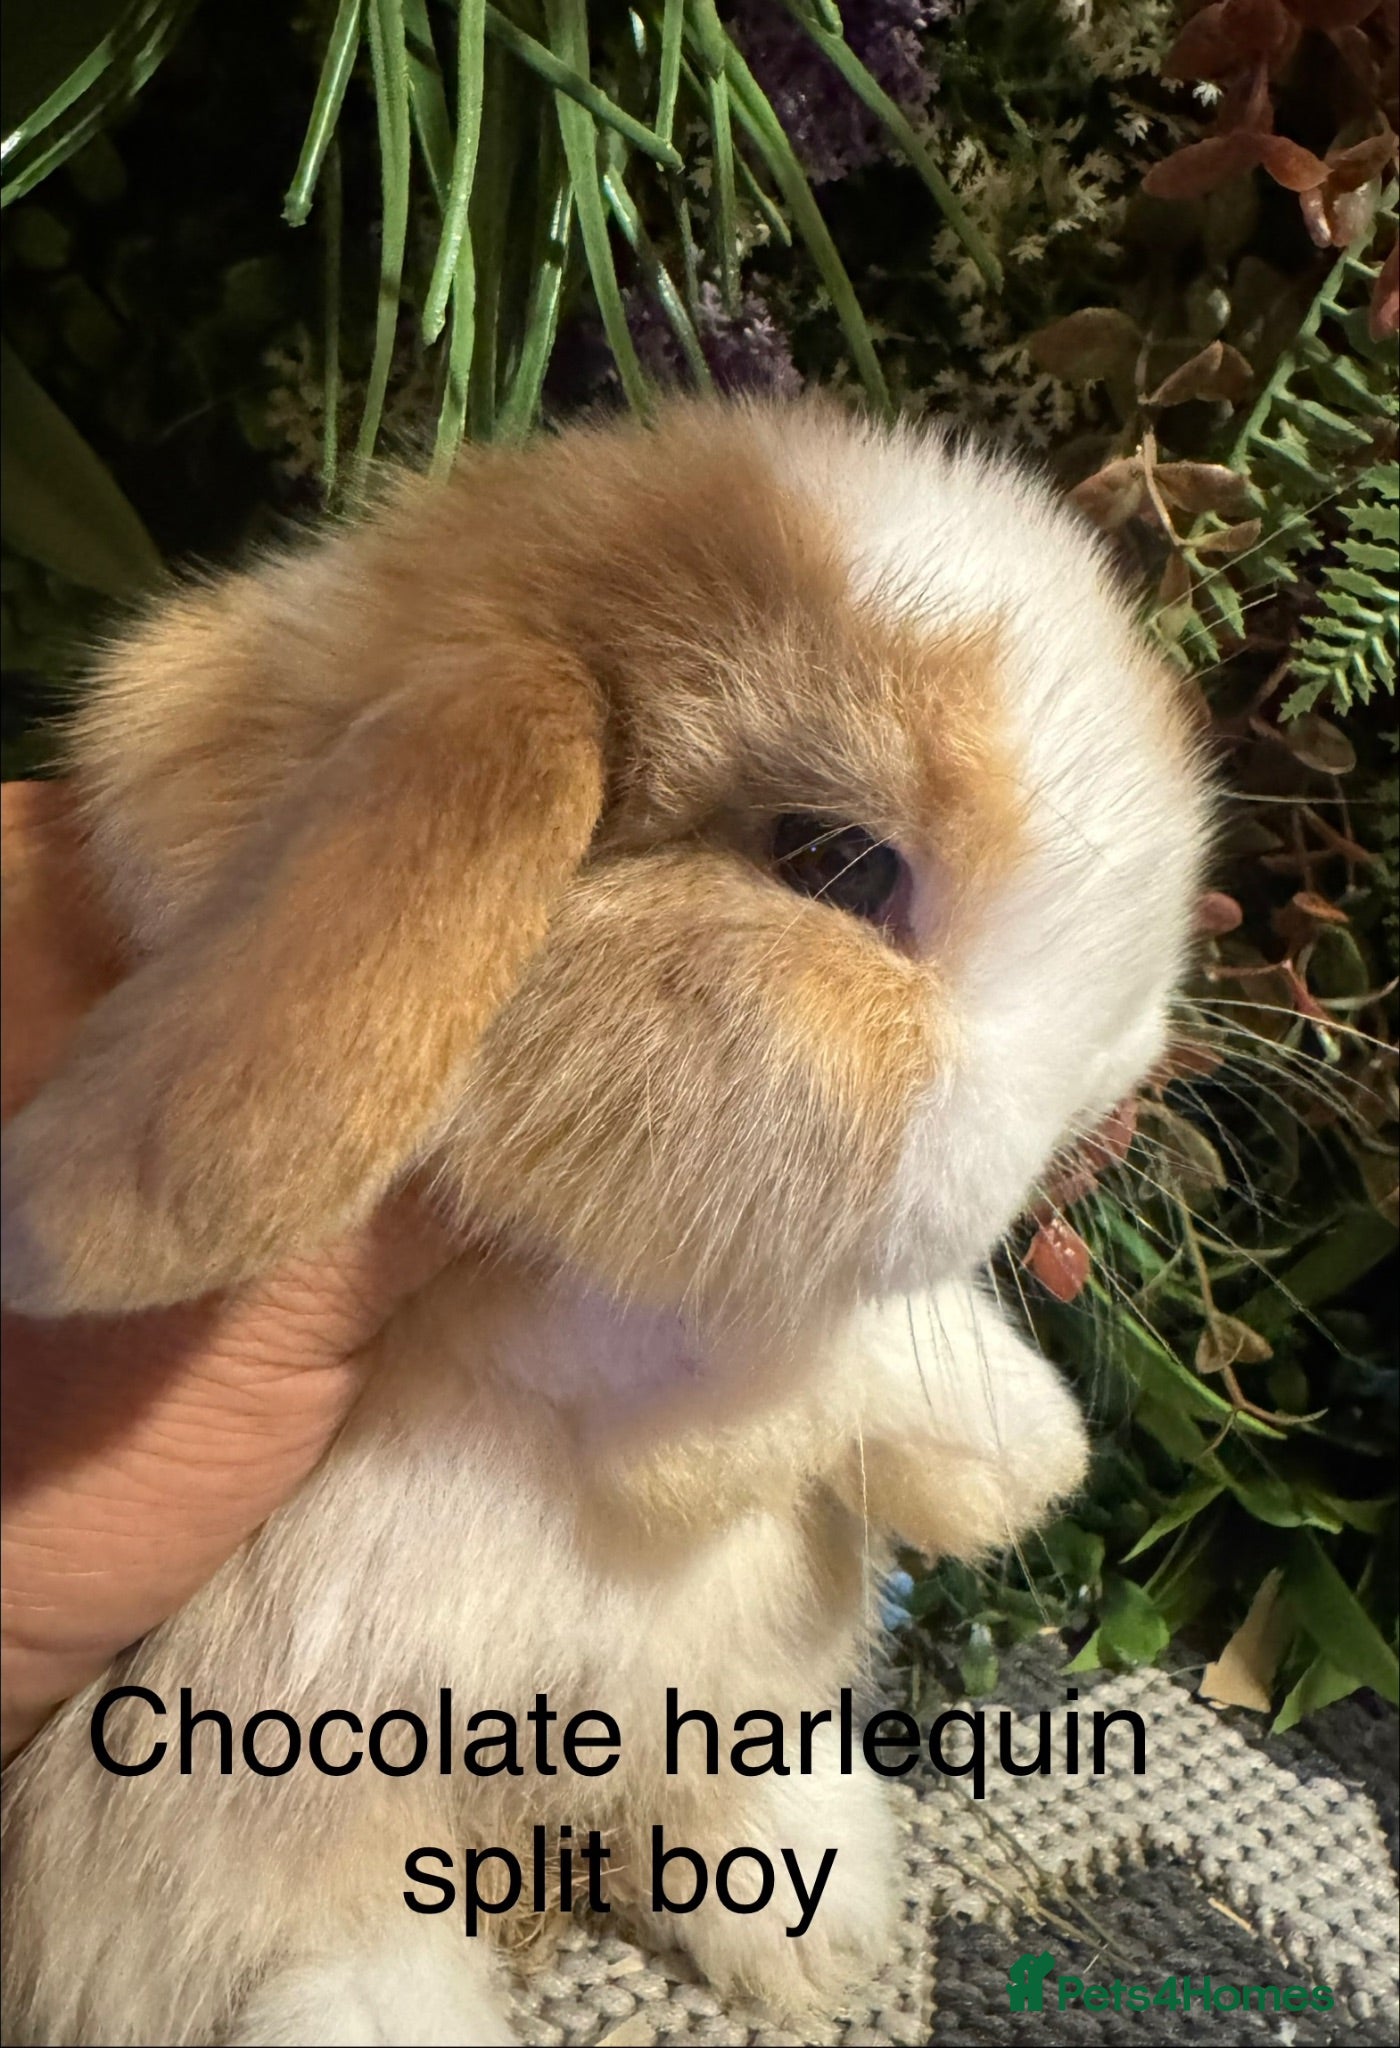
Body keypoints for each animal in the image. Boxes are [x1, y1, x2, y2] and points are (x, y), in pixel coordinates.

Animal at [0, 394, 1211, 2047]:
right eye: (835, 862)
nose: (1118, 1085)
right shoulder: (564, 1348)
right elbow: (734, 1382)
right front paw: (1015, 1454)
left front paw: (1010, 1466)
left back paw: (823, 1938)